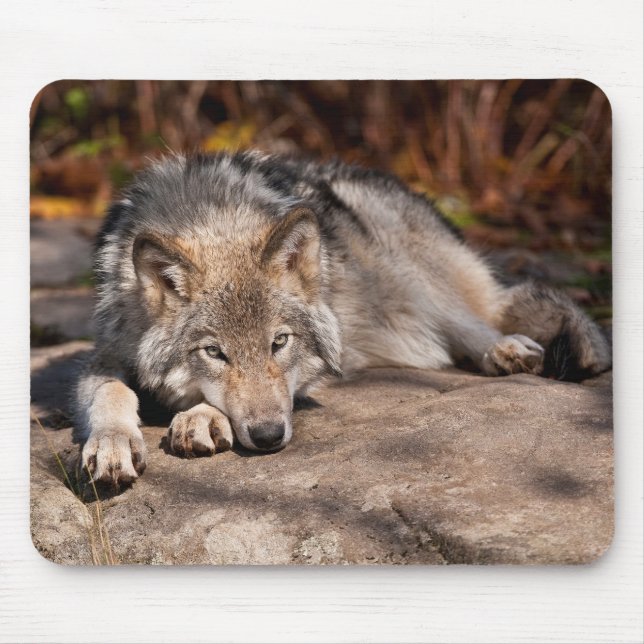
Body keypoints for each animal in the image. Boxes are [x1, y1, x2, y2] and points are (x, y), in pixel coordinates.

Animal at [75, 151, 611, 486]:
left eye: (279, 343)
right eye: (214, 352)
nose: (269, 438)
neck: (212, 217)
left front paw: (200, 417)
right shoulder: (105, 352)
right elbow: (111, 391)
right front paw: (112, 442)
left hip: (408, 278)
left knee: (478, 317)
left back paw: (505, 349)